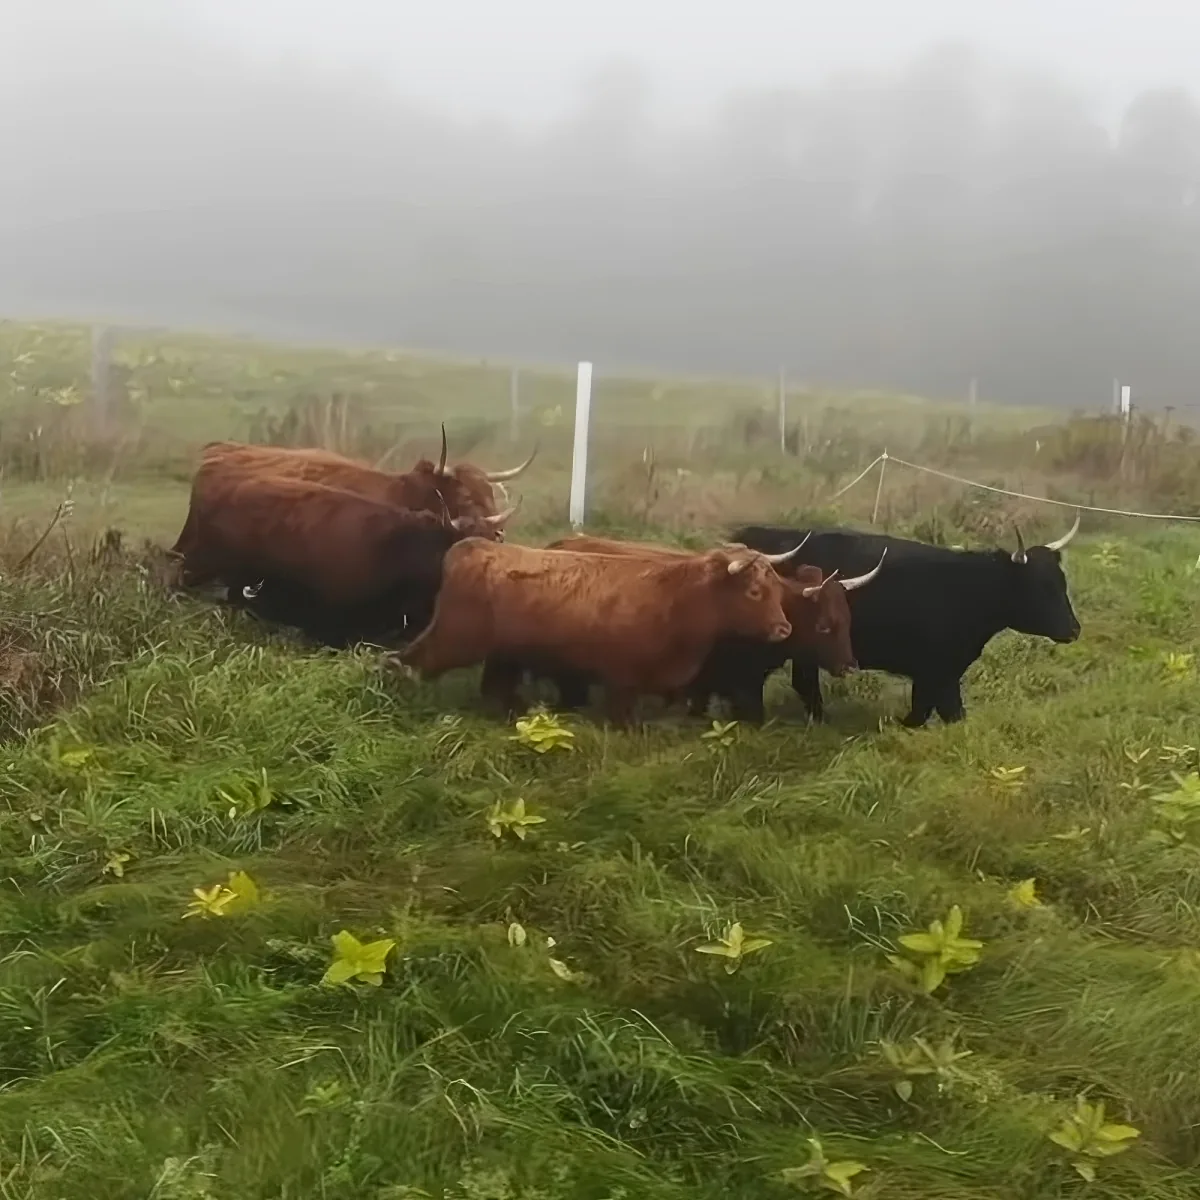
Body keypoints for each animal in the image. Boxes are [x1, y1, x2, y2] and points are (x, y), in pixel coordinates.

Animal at [398, 540, 797, 727]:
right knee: (409, 662)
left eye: (778, 590)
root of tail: (469, 547)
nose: (784, 628)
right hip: (455, 640)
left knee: (495, 688)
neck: (678, 597)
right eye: (754, 592)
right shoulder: (621, 682)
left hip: (503, 656)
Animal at [728, 513, 1083, 727]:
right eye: (1040, 587)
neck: (965, 588)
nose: (1075, 629)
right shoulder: (938, 672)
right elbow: (943, 711)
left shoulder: (938, 672)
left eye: (1062, 582)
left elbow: (929, 710)